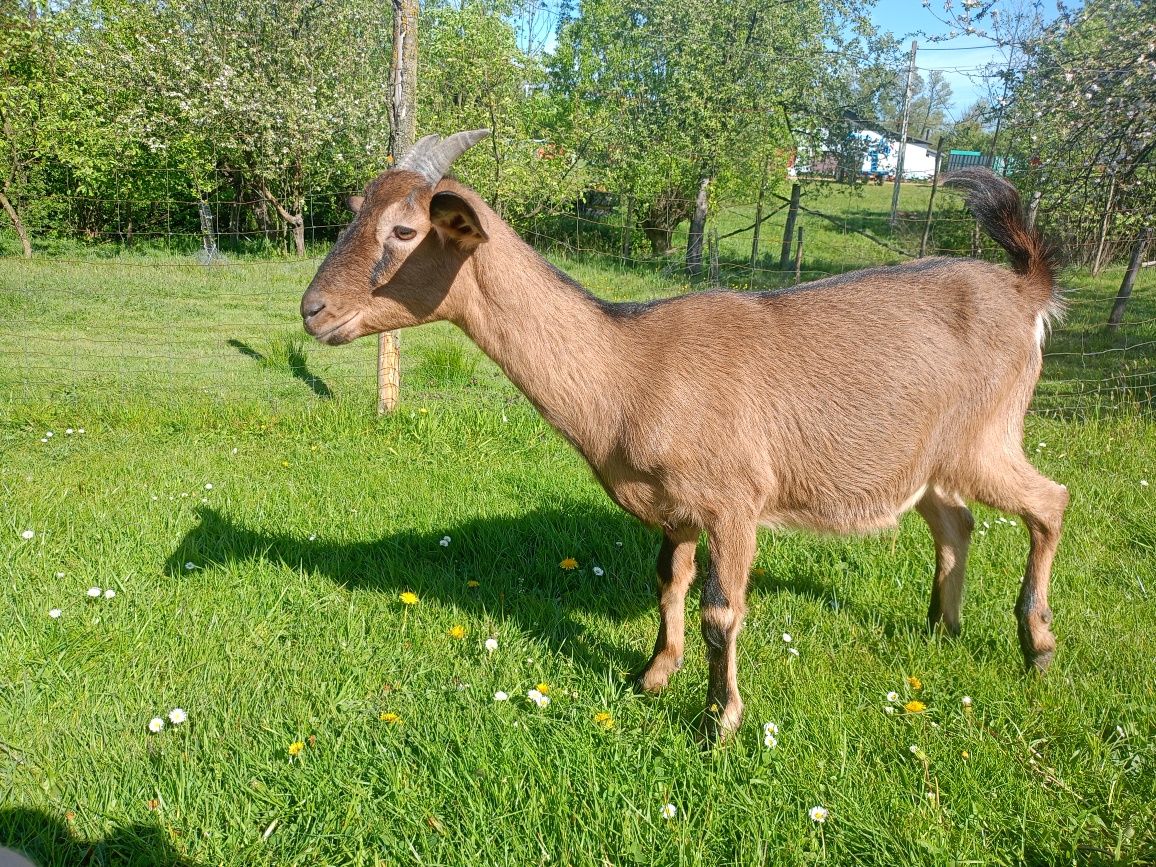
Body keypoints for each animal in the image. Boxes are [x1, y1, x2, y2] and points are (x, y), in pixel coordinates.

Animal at [302, 132, 1068, 744]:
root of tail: (1026, 290)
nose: (313, 310)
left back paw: (1036, 648)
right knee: (957, 522)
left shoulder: (735, 502)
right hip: (932, 458)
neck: (631, 368)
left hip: (989, 436)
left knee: (1049, 503)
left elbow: (720, 613)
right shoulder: (675, 508)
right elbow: (668, 583)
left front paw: (719, 720)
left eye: (405, 231)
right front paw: (653, 675)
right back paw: (942, 627)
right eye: (356, 212)